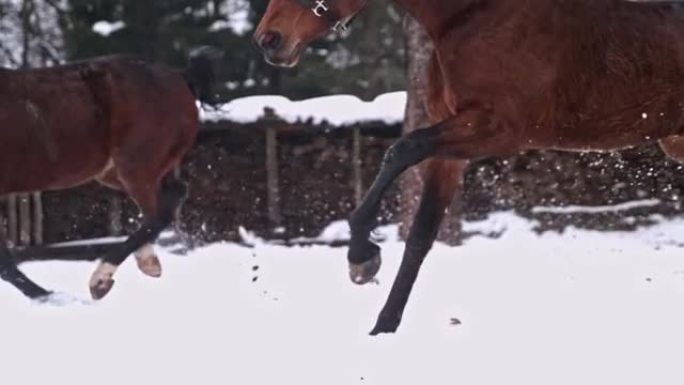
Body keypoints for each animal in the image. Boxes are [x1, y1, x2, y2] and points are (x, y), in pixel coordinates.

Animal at [0, 52, 214, 302]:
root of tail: (179, 76)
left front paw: (46, 296)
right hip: (118, 172)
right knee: (172, 196)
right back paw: (146, 261)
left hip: (135, 165)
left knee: (159, 212)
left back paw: (101, 279)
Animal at [254, 0, 684, 332]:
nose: (268, 39)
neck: (471, 15)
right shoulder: (451, 150)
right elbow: (420, 236)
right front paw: (383, 328)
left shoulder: (497, 129)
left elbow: (402, 150)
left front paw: (361, 257)